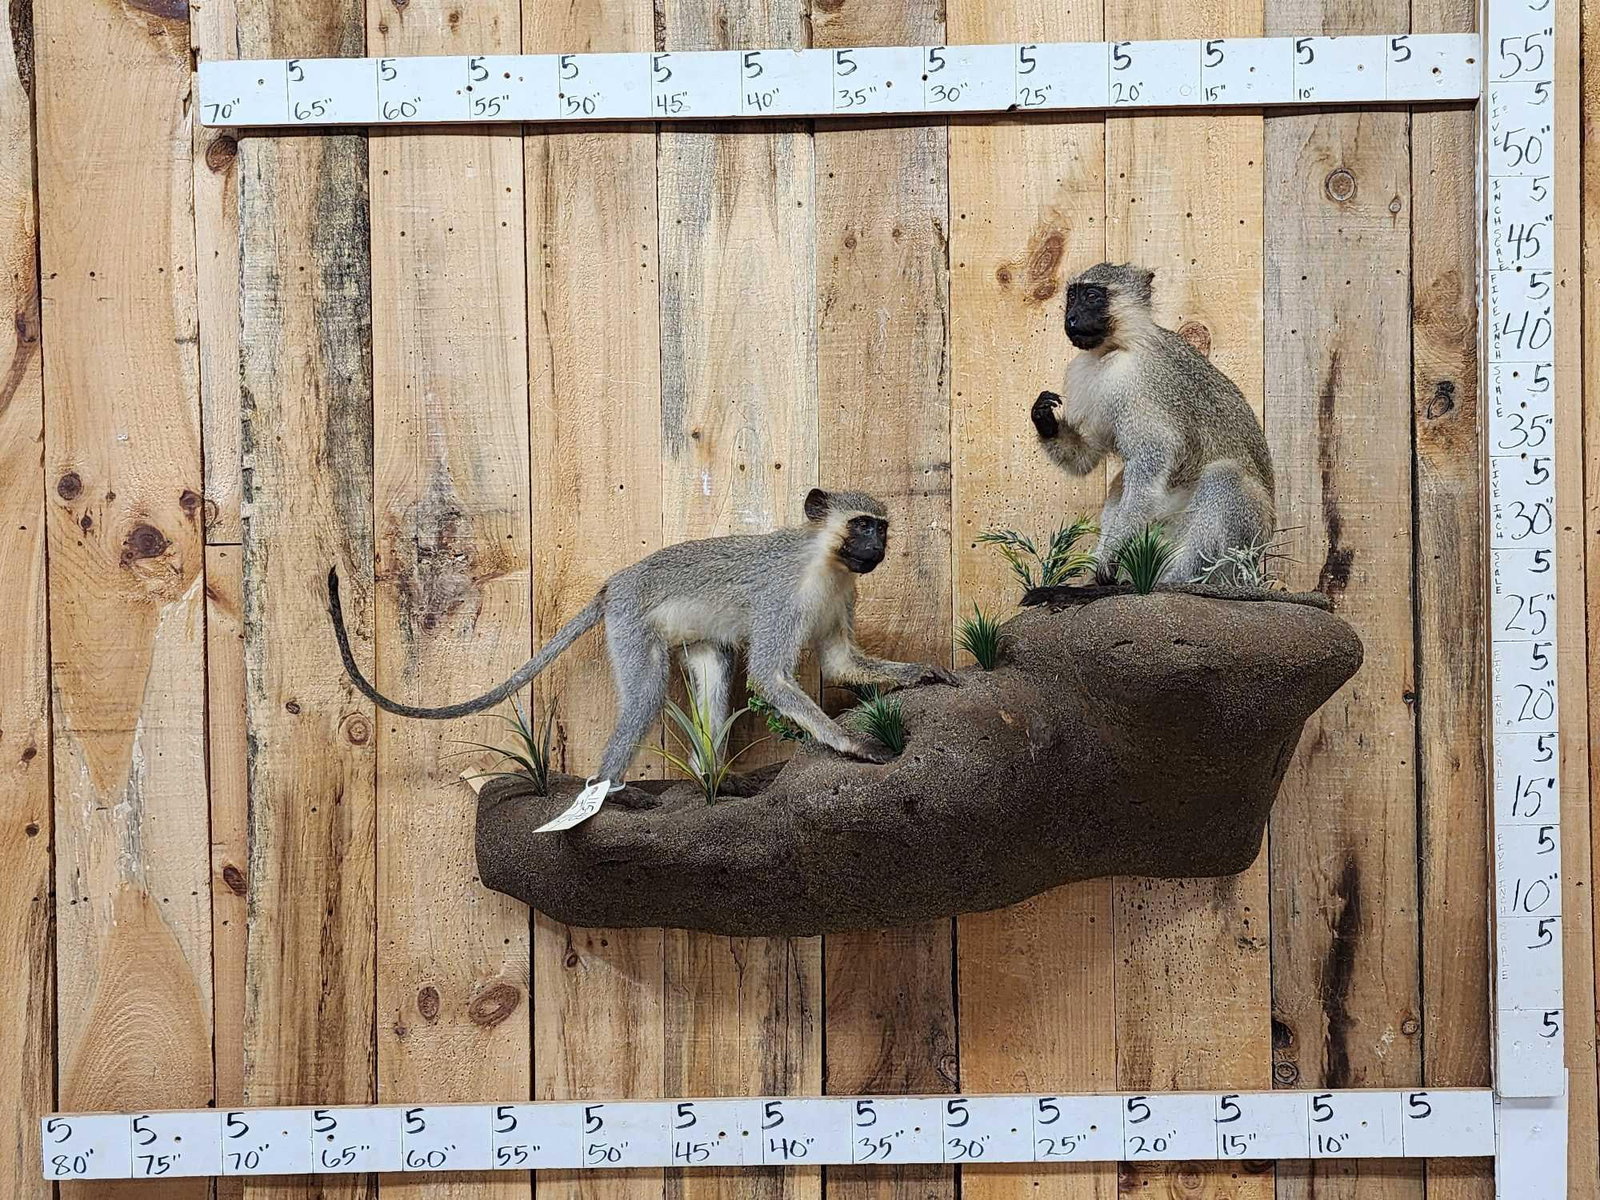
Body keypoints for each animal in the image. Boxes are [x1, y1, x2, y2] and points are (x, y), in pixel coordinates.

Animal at [328, 488, 958, 785]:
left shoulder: (843, 596)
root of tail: (616, 583)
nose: (877, 549)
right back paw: (602, 794)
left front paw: (923, 671)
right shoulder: (781, 597)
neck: (824, 562)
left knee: (712, 672)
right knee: (645, 697)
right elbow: (771, 677)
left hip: (688, 636)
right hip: (631, 623)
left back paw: (711, 783)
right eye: (861, 525)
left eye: (881, 529)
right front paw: (853, 745)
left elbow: (840, 663)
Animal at [1029, 261, 1276, 586]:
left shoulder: (1135, 382)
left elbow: (1148, 472)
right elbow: (1088, 456)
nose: (1071, 318)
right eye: (1072, 296)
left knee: (1225, 477)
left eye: (1093, 296)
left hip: (1247, 540)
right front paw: (1044, 417)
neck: (1119, 346)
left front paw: (1111, 554)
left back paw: (1175, 580)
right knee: (1121, 480)